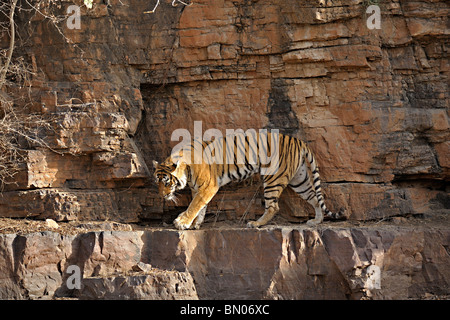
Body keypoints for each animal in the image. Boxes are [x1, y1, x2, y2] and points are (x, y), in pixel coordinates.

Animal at [153, 130, 342, 230]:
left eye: (167, 182)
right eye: (157, 182)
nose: (162, 196)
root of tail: (298, 141)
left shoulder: (208, 186)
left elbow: (195, 205)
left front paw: (182, 222)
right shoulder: (198, 188)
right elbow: (200, 207)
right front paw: (194, 224)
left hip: (273, 178)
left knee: (273, 207)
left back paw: (256, 223)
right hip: (299, 179)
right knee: (314, 198)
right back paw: (316, 220)